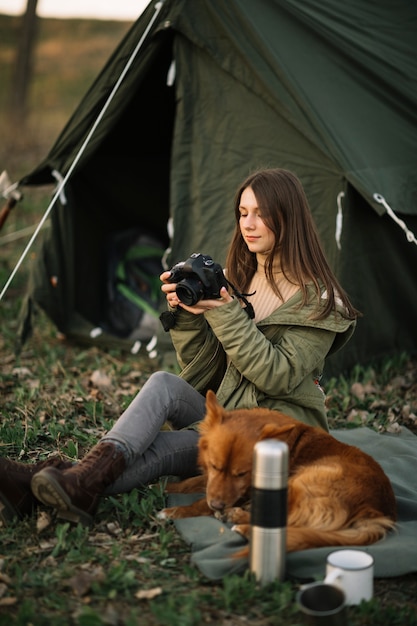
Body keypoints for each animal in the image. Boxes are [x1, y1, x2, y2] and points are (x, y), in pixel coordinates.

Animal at [159, 390, 396, 552]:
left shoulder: (244, 490)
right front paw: (163, 487)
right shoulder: (212, 481)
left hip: (303, 480)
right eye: (215, 465)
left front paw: (175, 511)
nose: (217, 505)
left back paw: (240, 523)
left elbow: (200, 502)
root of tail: (376, 510)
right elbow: (190, 483)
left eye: (241, 474)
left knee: (287, 522)